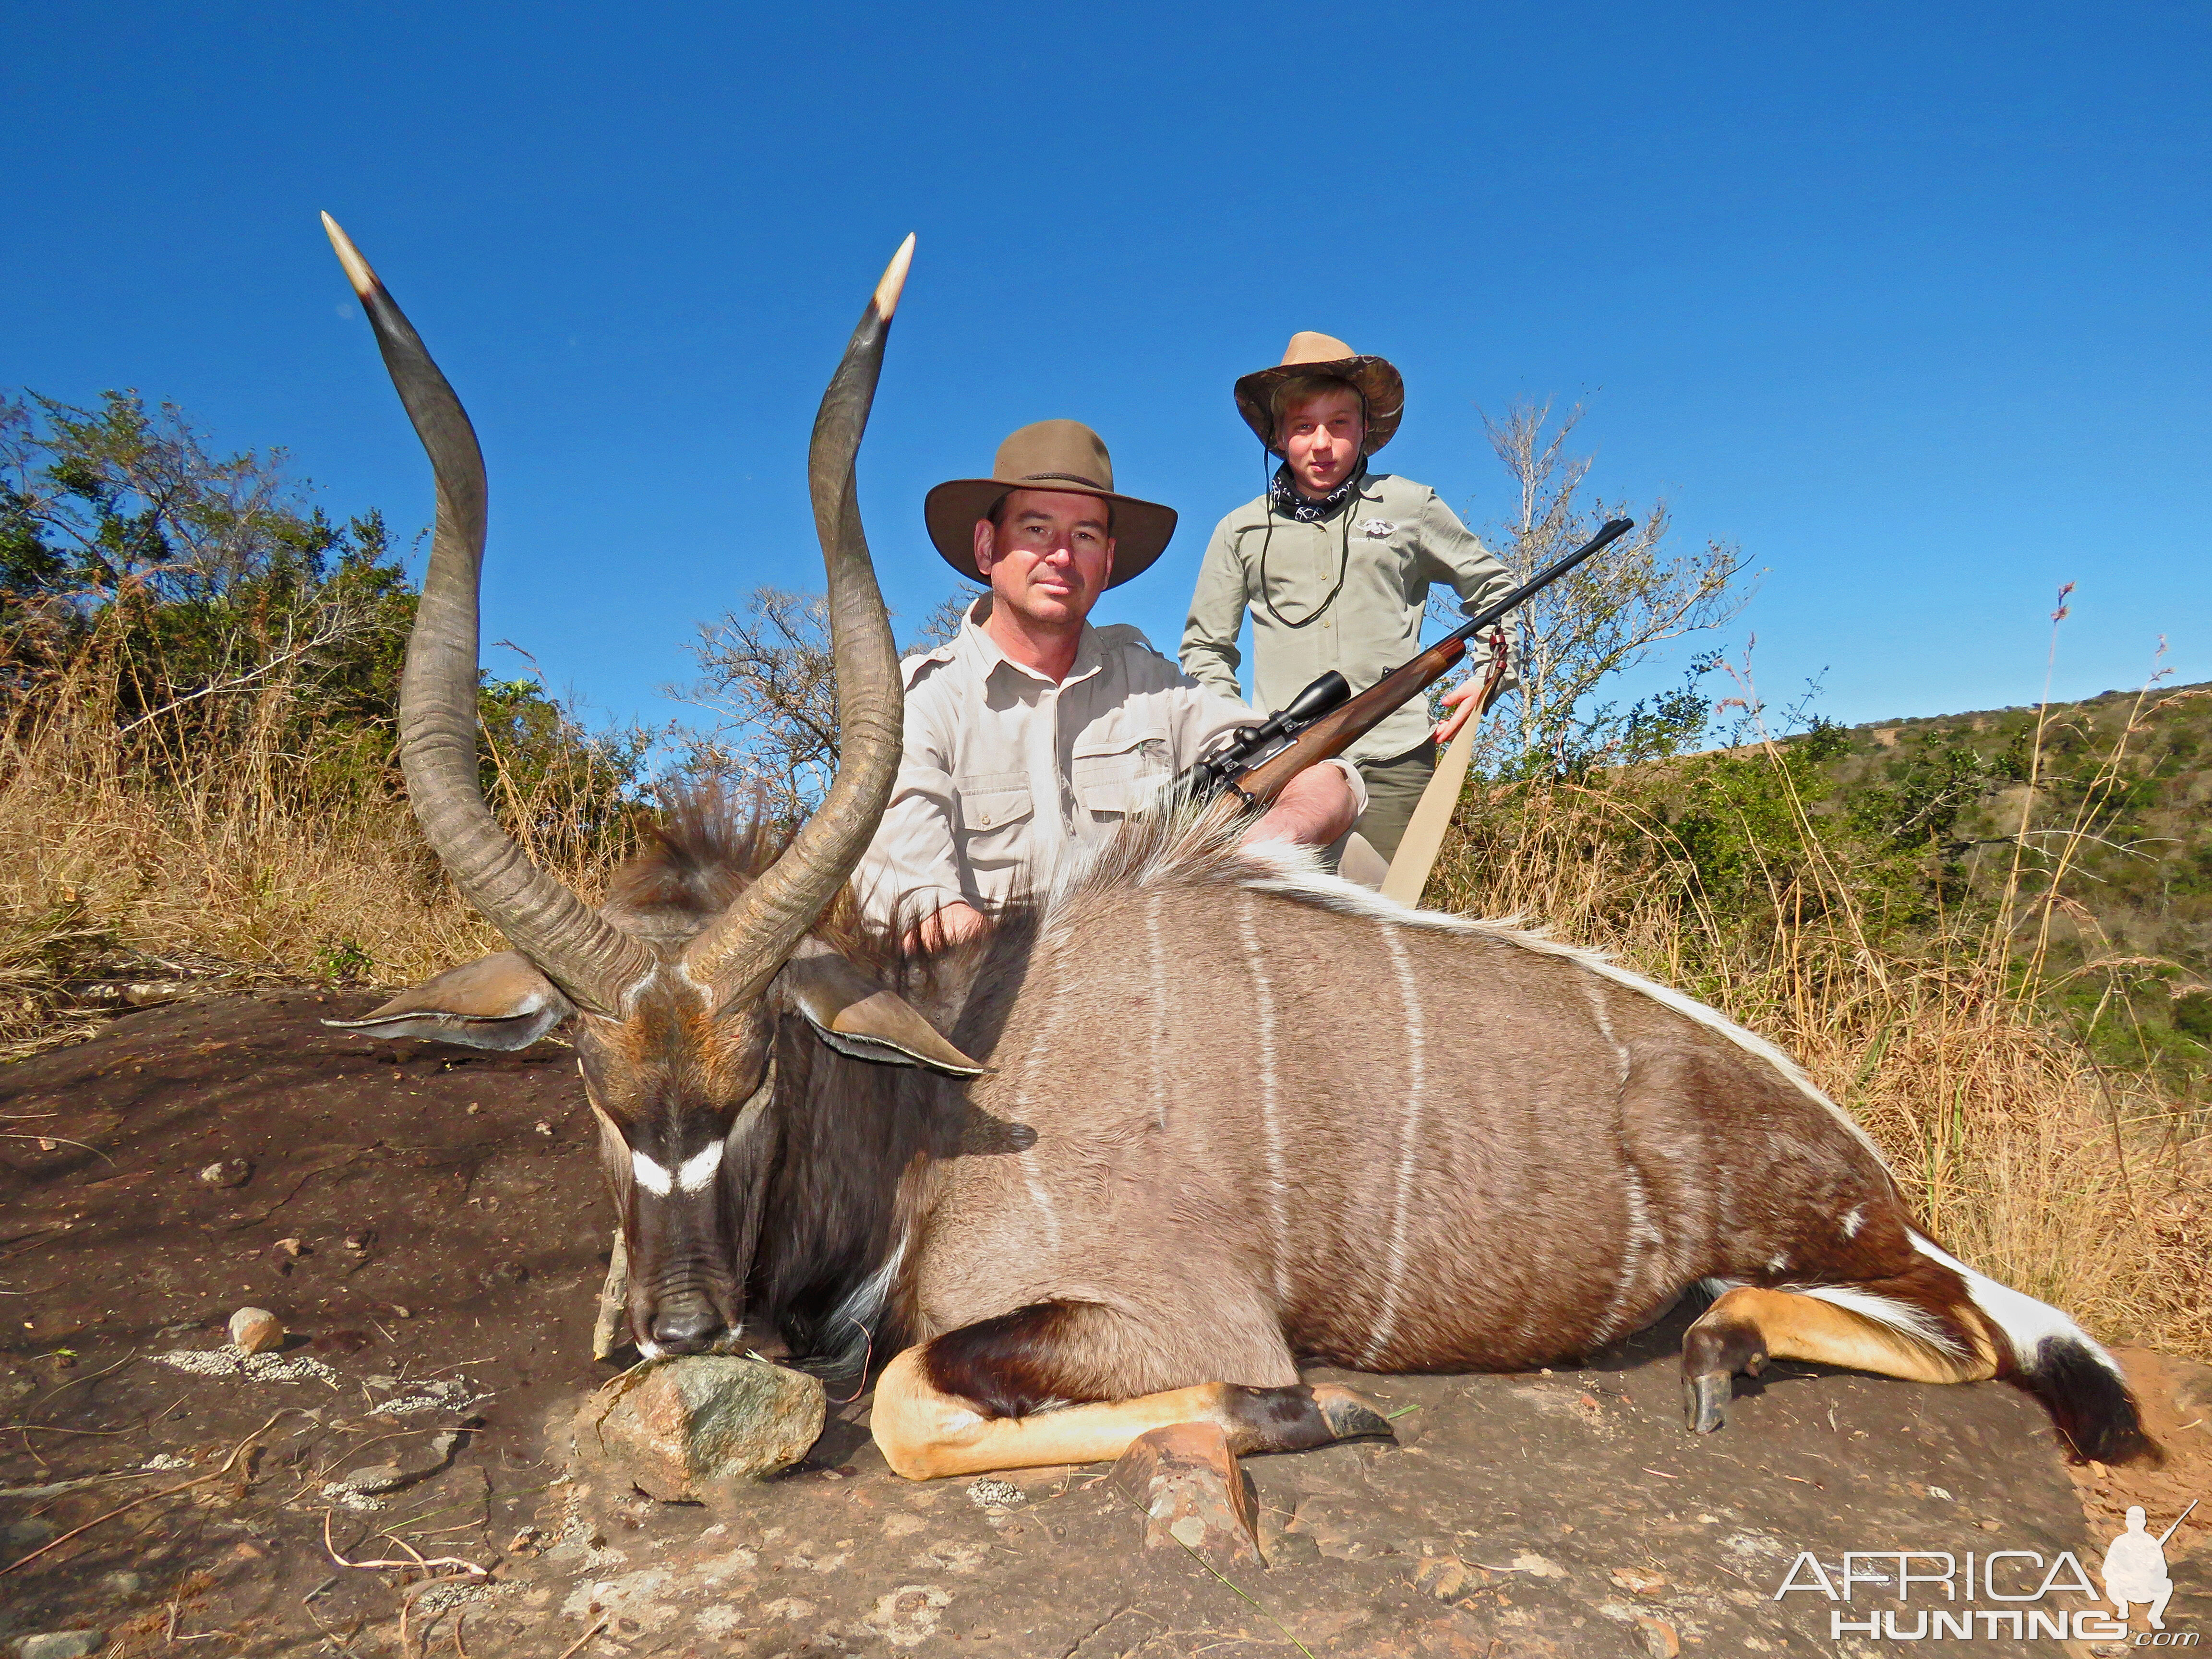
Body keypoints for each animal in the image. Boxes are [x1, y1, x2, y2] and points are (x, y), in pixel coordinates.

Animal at [323, 221, 2159, 1478]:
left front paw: (1319, 1412)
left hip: (1853, 1241)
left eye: (762, 1065)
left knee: (1986, 1332)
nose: (681, 1326)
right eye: (583, 1083)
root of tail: (1853, 1149)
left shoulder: (1165, 1311)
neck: (944, 1103)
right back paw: (1715, 1342)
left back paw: (1719, 1350)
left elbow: (913, 1396)